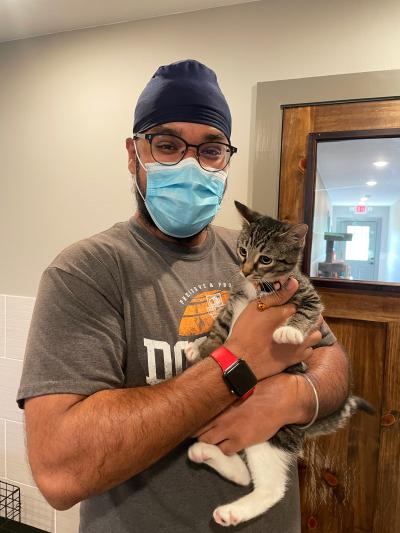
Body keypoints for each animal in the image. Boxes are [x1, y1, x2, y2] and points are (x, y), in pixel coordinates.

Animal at [184, 202, 372, 524]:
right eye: (243, 251)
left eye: (266, 259)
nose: (245, 270)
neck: (258, 289)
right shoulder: (233, 304)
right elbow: (220, 328)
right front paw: (202, 348)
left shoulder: (308, 295)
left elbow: (307, 311)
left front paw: (290, 331)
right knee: (245, 474)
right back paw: (205, 454)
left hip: (272, 430)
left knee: (269, 487)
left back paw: (234, 510)